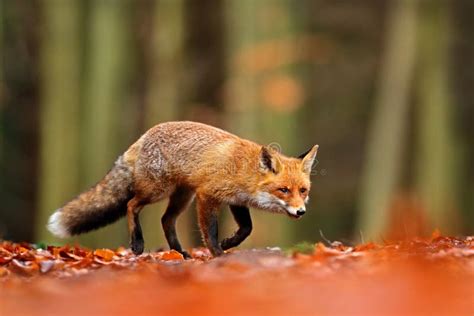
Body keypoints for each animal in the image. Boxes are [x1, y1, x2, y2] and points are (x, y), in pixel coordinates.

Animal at [48, 121, 318, 256]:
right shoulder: (207, 195)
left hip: (181, 197)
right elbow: (210, 232)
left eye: (303, 191)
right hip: (158, 190)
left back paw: (179, 252)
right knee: (131, 205)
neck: (244, 171)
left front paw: (229, 243)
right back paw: (137, 244)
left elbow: (246, 229)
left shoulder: (236, 200)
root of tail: (142, 137)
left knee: (166, 220)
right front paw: (218, 253)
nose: (301, 212)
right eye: (284, 190)